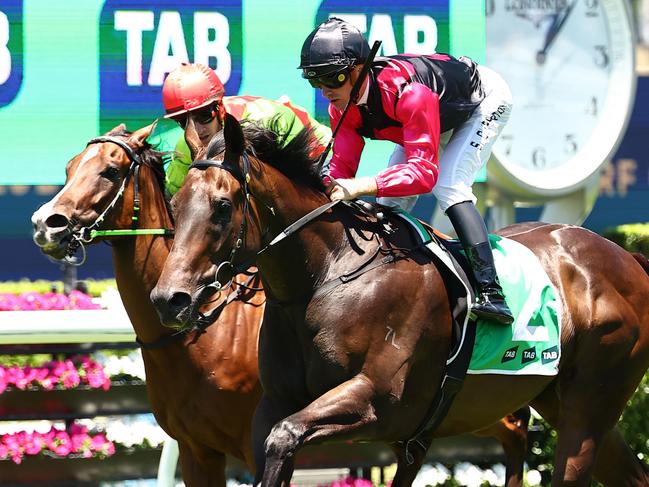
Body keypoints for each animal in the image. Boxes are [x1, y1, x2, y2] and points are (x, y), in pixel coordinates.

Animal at [149, 115, 648, 487]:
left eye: (222, 207)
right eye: (175, 202)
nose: (169, 299)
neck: (325, 277)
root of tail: (627, 256)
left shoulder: (377, 402)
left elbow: (284, 438)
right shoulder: (271, 406)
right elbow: (272, 442)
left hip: (588, 406)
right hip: (561, 401)